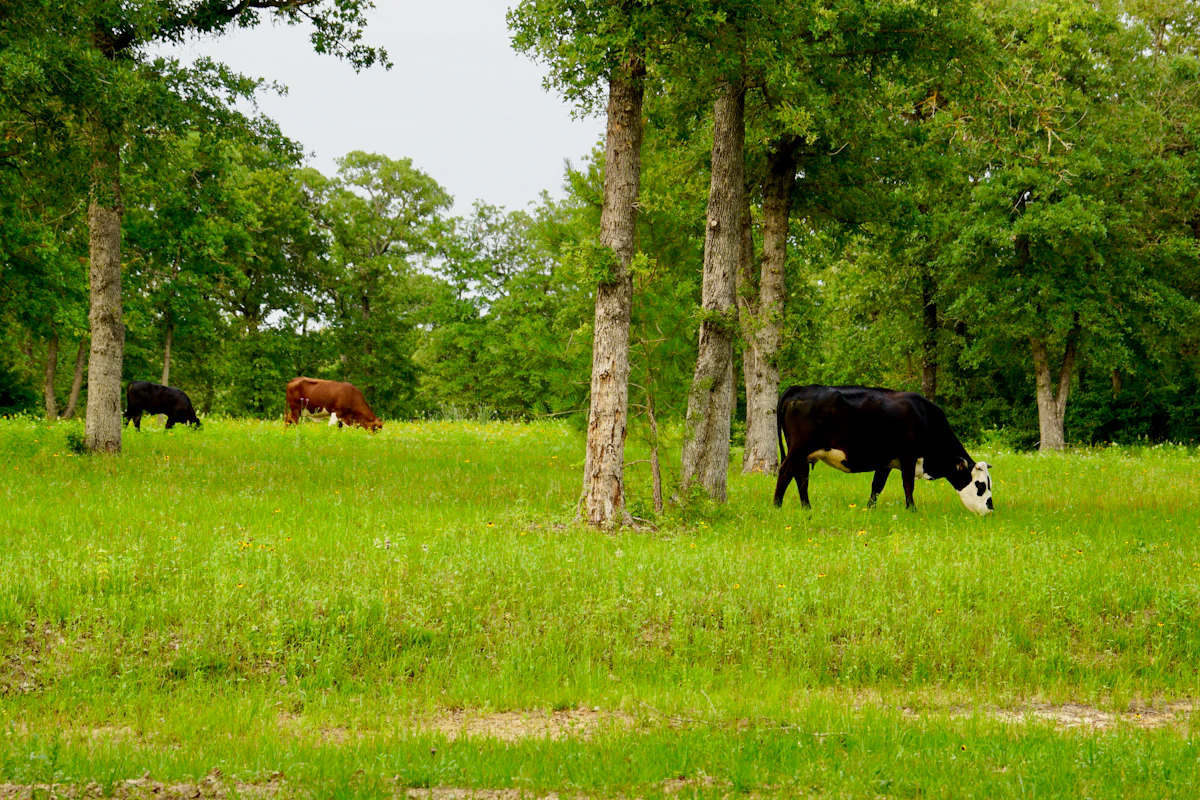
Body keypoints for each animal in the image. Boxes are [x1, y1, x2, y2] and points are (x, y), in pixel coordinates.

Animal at [774, 385, 993, 515]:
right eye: (980, 486)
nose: (990, 510)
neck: (925, 416)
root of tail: (800, 388)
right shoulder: (908, 456)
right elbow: (908, 485)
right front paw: (912, 510)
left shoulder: (886, 461)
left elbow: (877, 486)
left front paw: (870, 508)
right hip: (798, 450)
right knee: (786, 473)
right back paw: (782, 506)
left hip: (802, 453)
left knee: (799, 477)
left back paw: (800, 507)